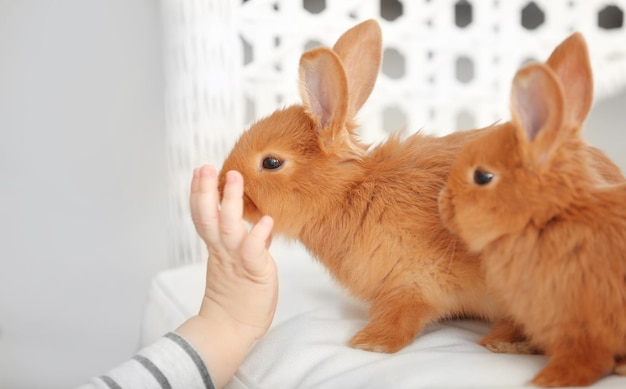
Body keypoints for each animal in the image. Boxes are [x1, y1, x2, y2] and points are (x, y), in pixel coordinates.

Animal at [436, 59, 624, 384]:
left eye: (482, 176)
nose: (442, 203)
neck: (547, 220)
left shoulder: (583, 326)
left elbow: (584, 359)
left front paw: (548, 380)